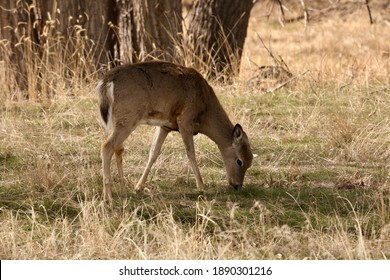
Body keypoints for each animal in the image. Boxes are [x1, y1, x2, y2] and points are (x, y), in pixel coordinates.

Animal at [97, 60, 253, 201]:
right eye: (240, 161)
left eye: (250, 162)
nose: (238, 185)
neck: (205, 111)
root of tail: (106, 82)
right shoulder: (185, 119)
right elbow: (191, 153)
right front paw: (202, 187)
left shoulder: (165, 126)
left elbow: (153, 153)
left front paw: (138, 187)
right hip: (129, 116)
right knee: (107, 146)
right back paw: (108, 197)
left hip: (120, 119)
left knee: (117, 148)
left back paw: (121, 192)